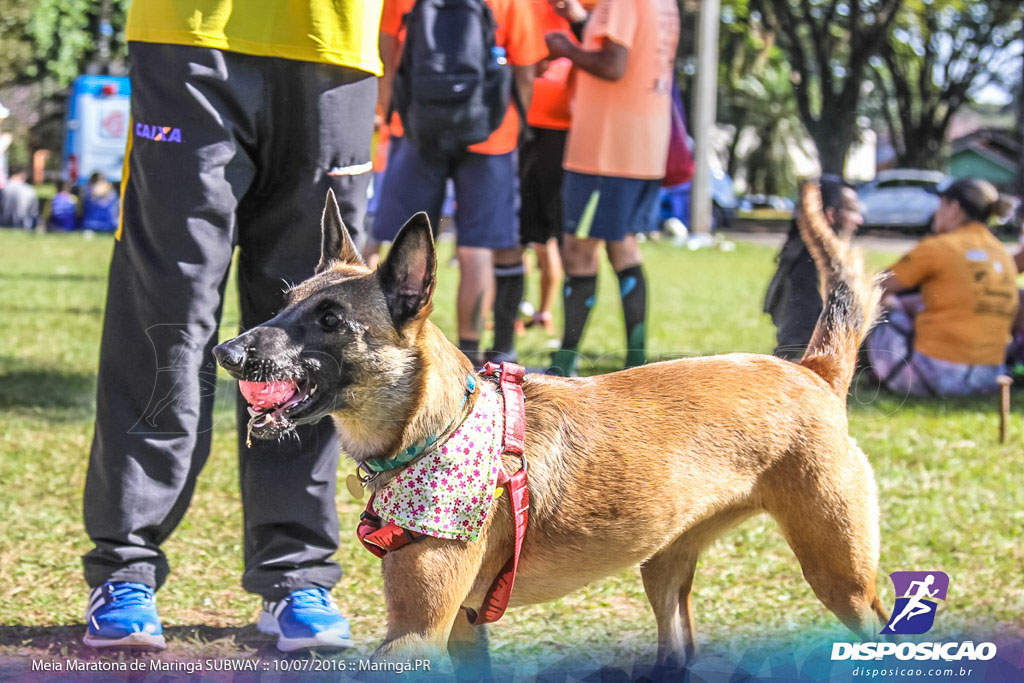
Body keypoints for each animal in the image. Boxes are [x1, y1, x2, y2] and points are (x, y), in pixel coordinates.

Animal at [214, 184, 888, 675]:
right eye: (285, 302)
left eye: (330, 320)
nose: (226, 350)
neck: (440, 427)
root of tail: (811, 371)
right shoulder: (461, 629)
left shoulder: (415, 633)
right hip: (663, 568)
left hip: (843, 578)